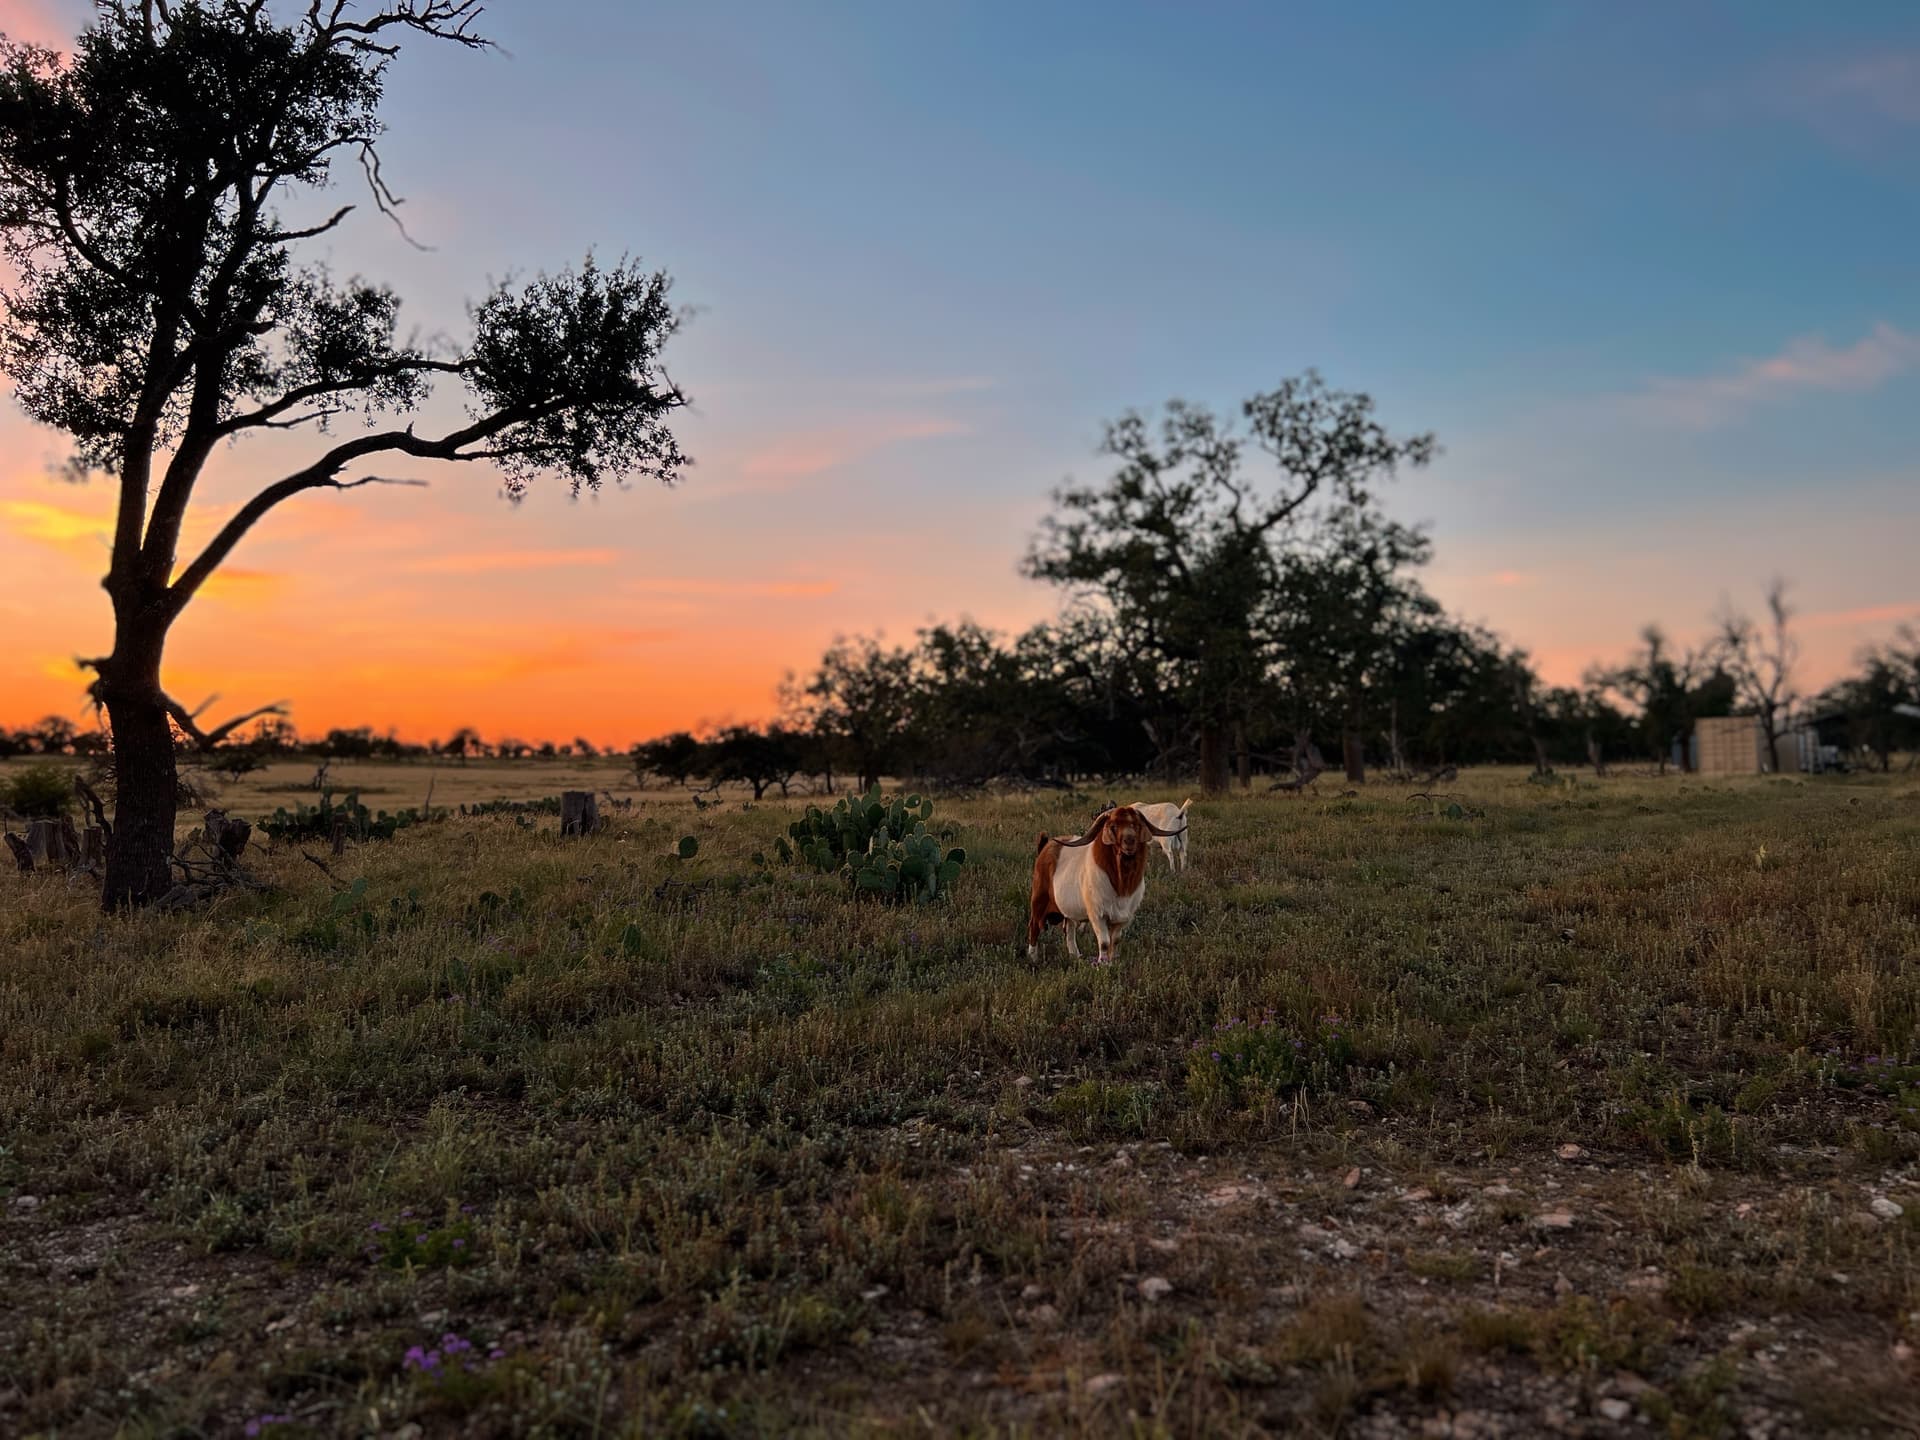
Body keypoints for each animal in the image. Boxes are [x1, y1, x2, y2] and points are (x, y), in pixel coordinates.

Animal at [1026, 804, 1184, 964]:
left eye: (1135, 824)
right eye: (1113, 826)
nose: (1129, 841)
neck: (1120, 884)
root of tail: (1045, 847)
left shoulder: (1123, 918)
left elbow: (1115, 940)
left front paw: (1112, 961)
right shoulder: (1097, 915)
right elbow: (1104, 942)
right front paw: (1103, 963)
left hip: (1067, 910)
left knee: (1069, 930)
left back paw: (1075, 956)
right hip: (1039, 901)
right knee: (1034, 927)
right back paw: (1033, 958)